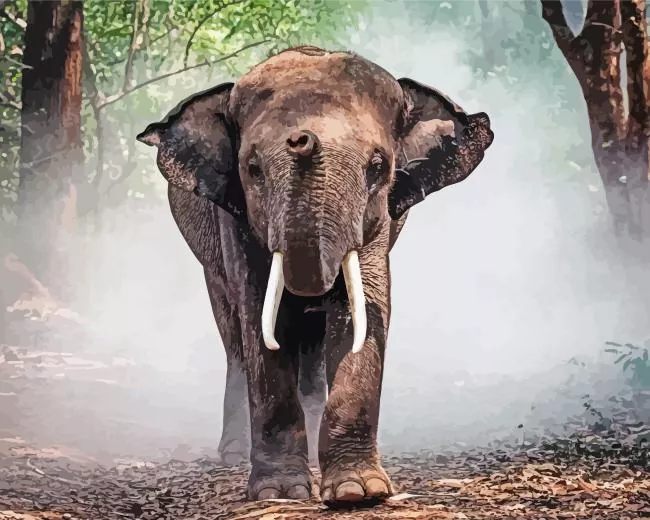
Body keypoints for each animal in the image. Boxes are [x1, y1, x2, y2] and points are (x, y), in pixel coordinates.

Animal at [137, 45, 493, 505]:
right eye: (253, 169)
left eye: (378, 166)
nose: (302, 139)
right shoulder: (235, 218)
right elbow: (259, 315)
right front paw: (280, 493)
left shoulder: (377, 216)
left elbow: (360, 307)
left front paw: (359, 492)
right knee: (234, 335)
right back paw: (234, 454)